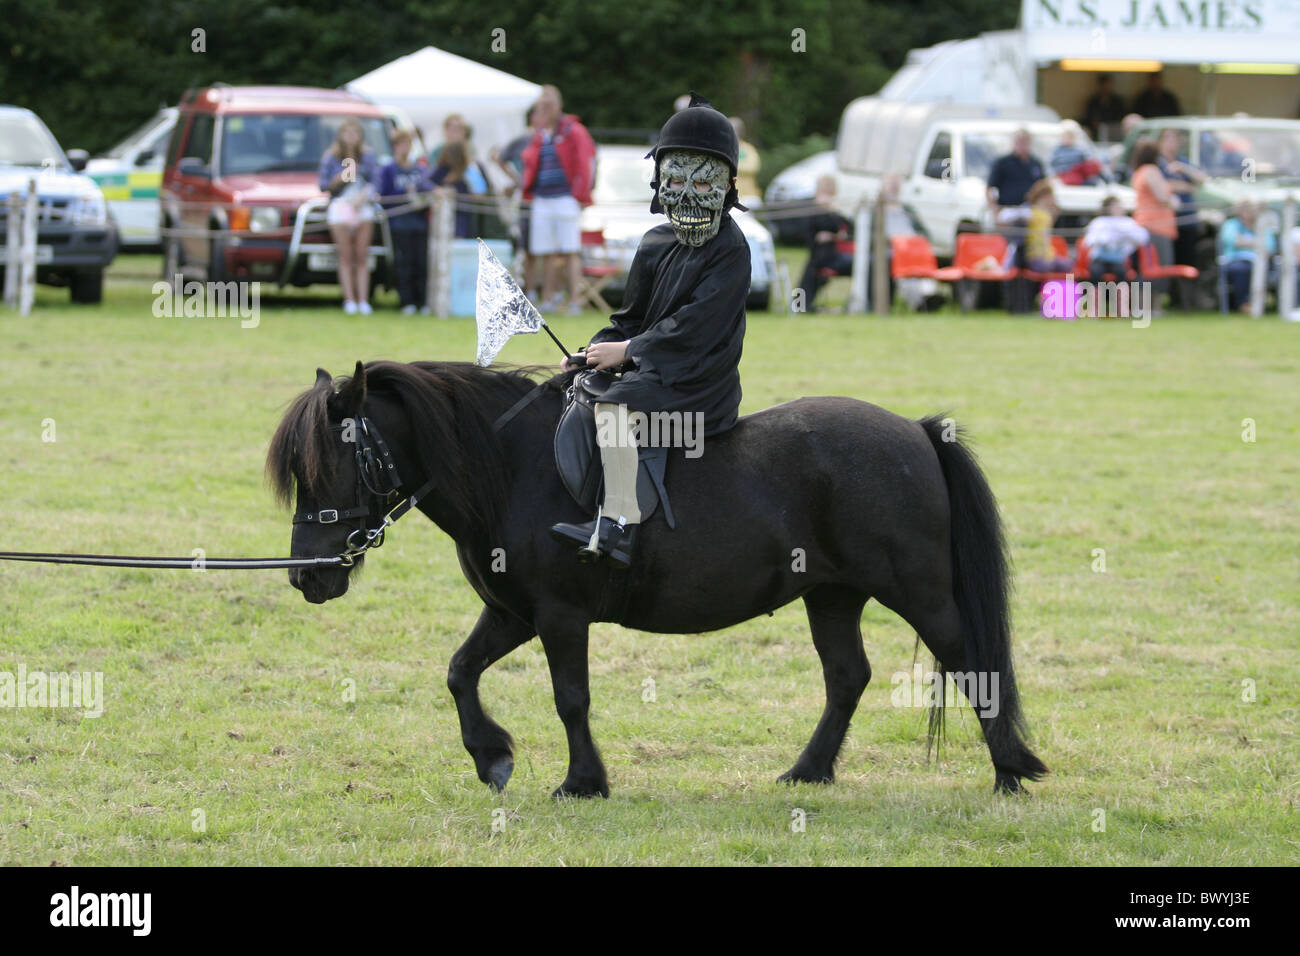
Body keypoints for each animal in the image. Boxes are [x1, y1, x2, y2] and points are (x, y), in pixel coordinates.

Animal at [269, 361, 1050, 796]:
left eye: (332, 462)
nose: (307, 575)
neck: (515, 470)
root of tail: (916, 431)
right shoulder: (513, 614)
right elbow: (460, 672)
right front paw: (492, 759)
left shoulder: (559, 616)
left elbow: (571, 699)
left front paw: (582, 782)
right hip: (831, 596)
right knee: (846, 678)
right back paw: (808, 772)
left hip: (918, 591)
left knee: (970, 663)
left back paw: (1012, 771)